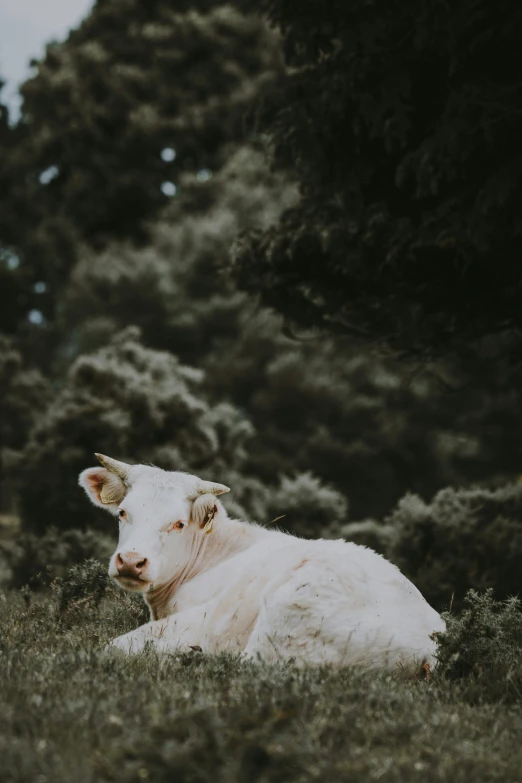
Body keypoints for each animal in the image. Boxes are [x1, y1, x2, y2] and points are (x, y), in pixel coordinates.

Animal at [78, 454, 442, 672]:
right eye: (122, 512)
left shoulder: (200, 619)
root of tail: (430, 647)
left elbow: (116, 645)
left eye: (179, 523)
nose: (131, 561)